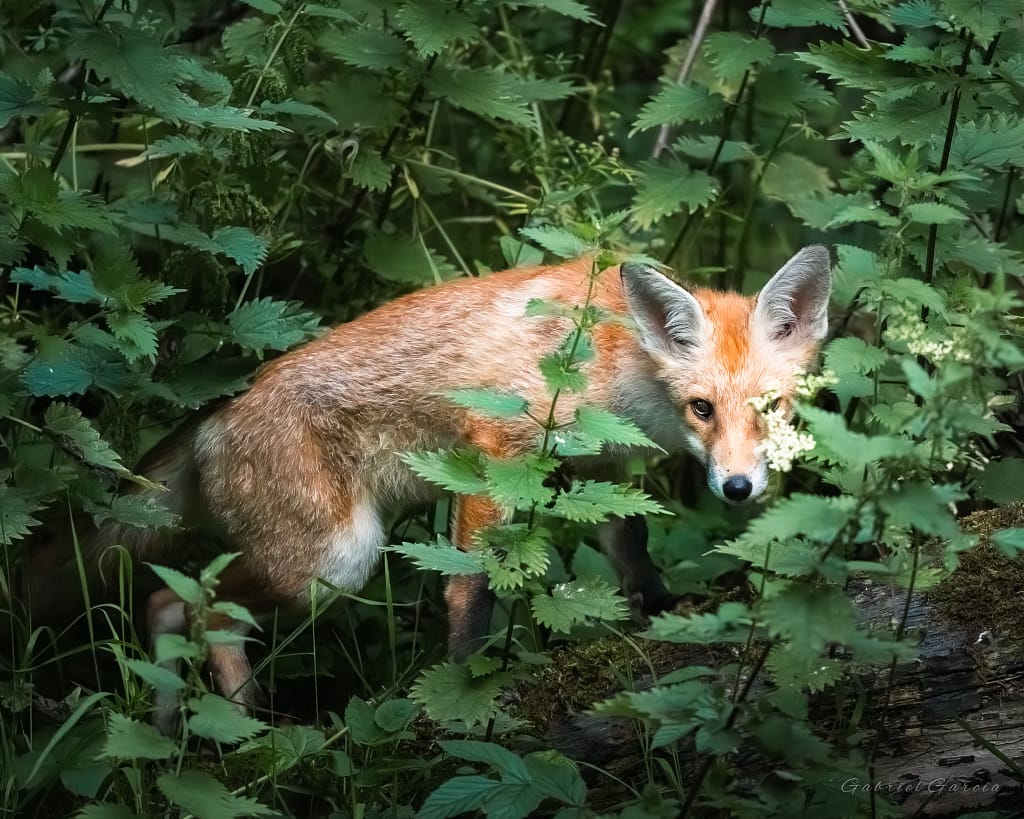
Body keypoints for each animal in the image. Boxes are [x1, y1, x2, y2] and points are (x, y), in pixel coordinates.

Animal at [37, 244, 831, 724]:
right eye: (702, 408)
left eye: (771, 407)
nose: (737, 488)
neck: (612, 356)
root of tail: (212, 414)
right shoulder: (498, 451)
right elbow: (470, 587)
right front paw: (463, 684)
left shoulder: (597, 467)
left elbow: (630, 546)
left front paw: (665, 613)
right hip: (334, 561)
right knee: (185, 602)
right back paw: (243, 729)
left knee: (173, 606)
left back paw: (189, 729)